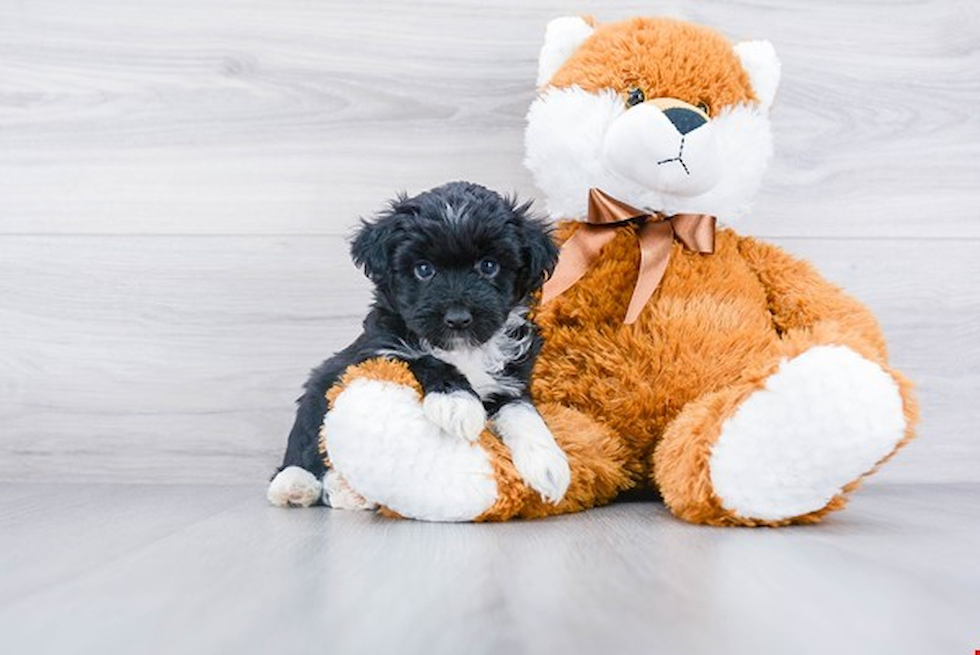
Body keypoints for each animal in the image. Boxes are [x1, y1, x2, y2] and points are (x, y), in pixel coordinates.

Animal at [268, 182, 576, 510]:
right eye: (424, 269)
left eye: (488, 266)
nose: (458, 318)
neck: (464, 350)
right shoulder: (378, 350)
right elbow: (422, 359)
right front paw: (457, 403)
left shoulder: (511, 380)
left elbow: (523, 411)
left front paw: (548, 464)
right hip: (319, 389)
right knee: (305, 446)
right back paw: (299, 485)